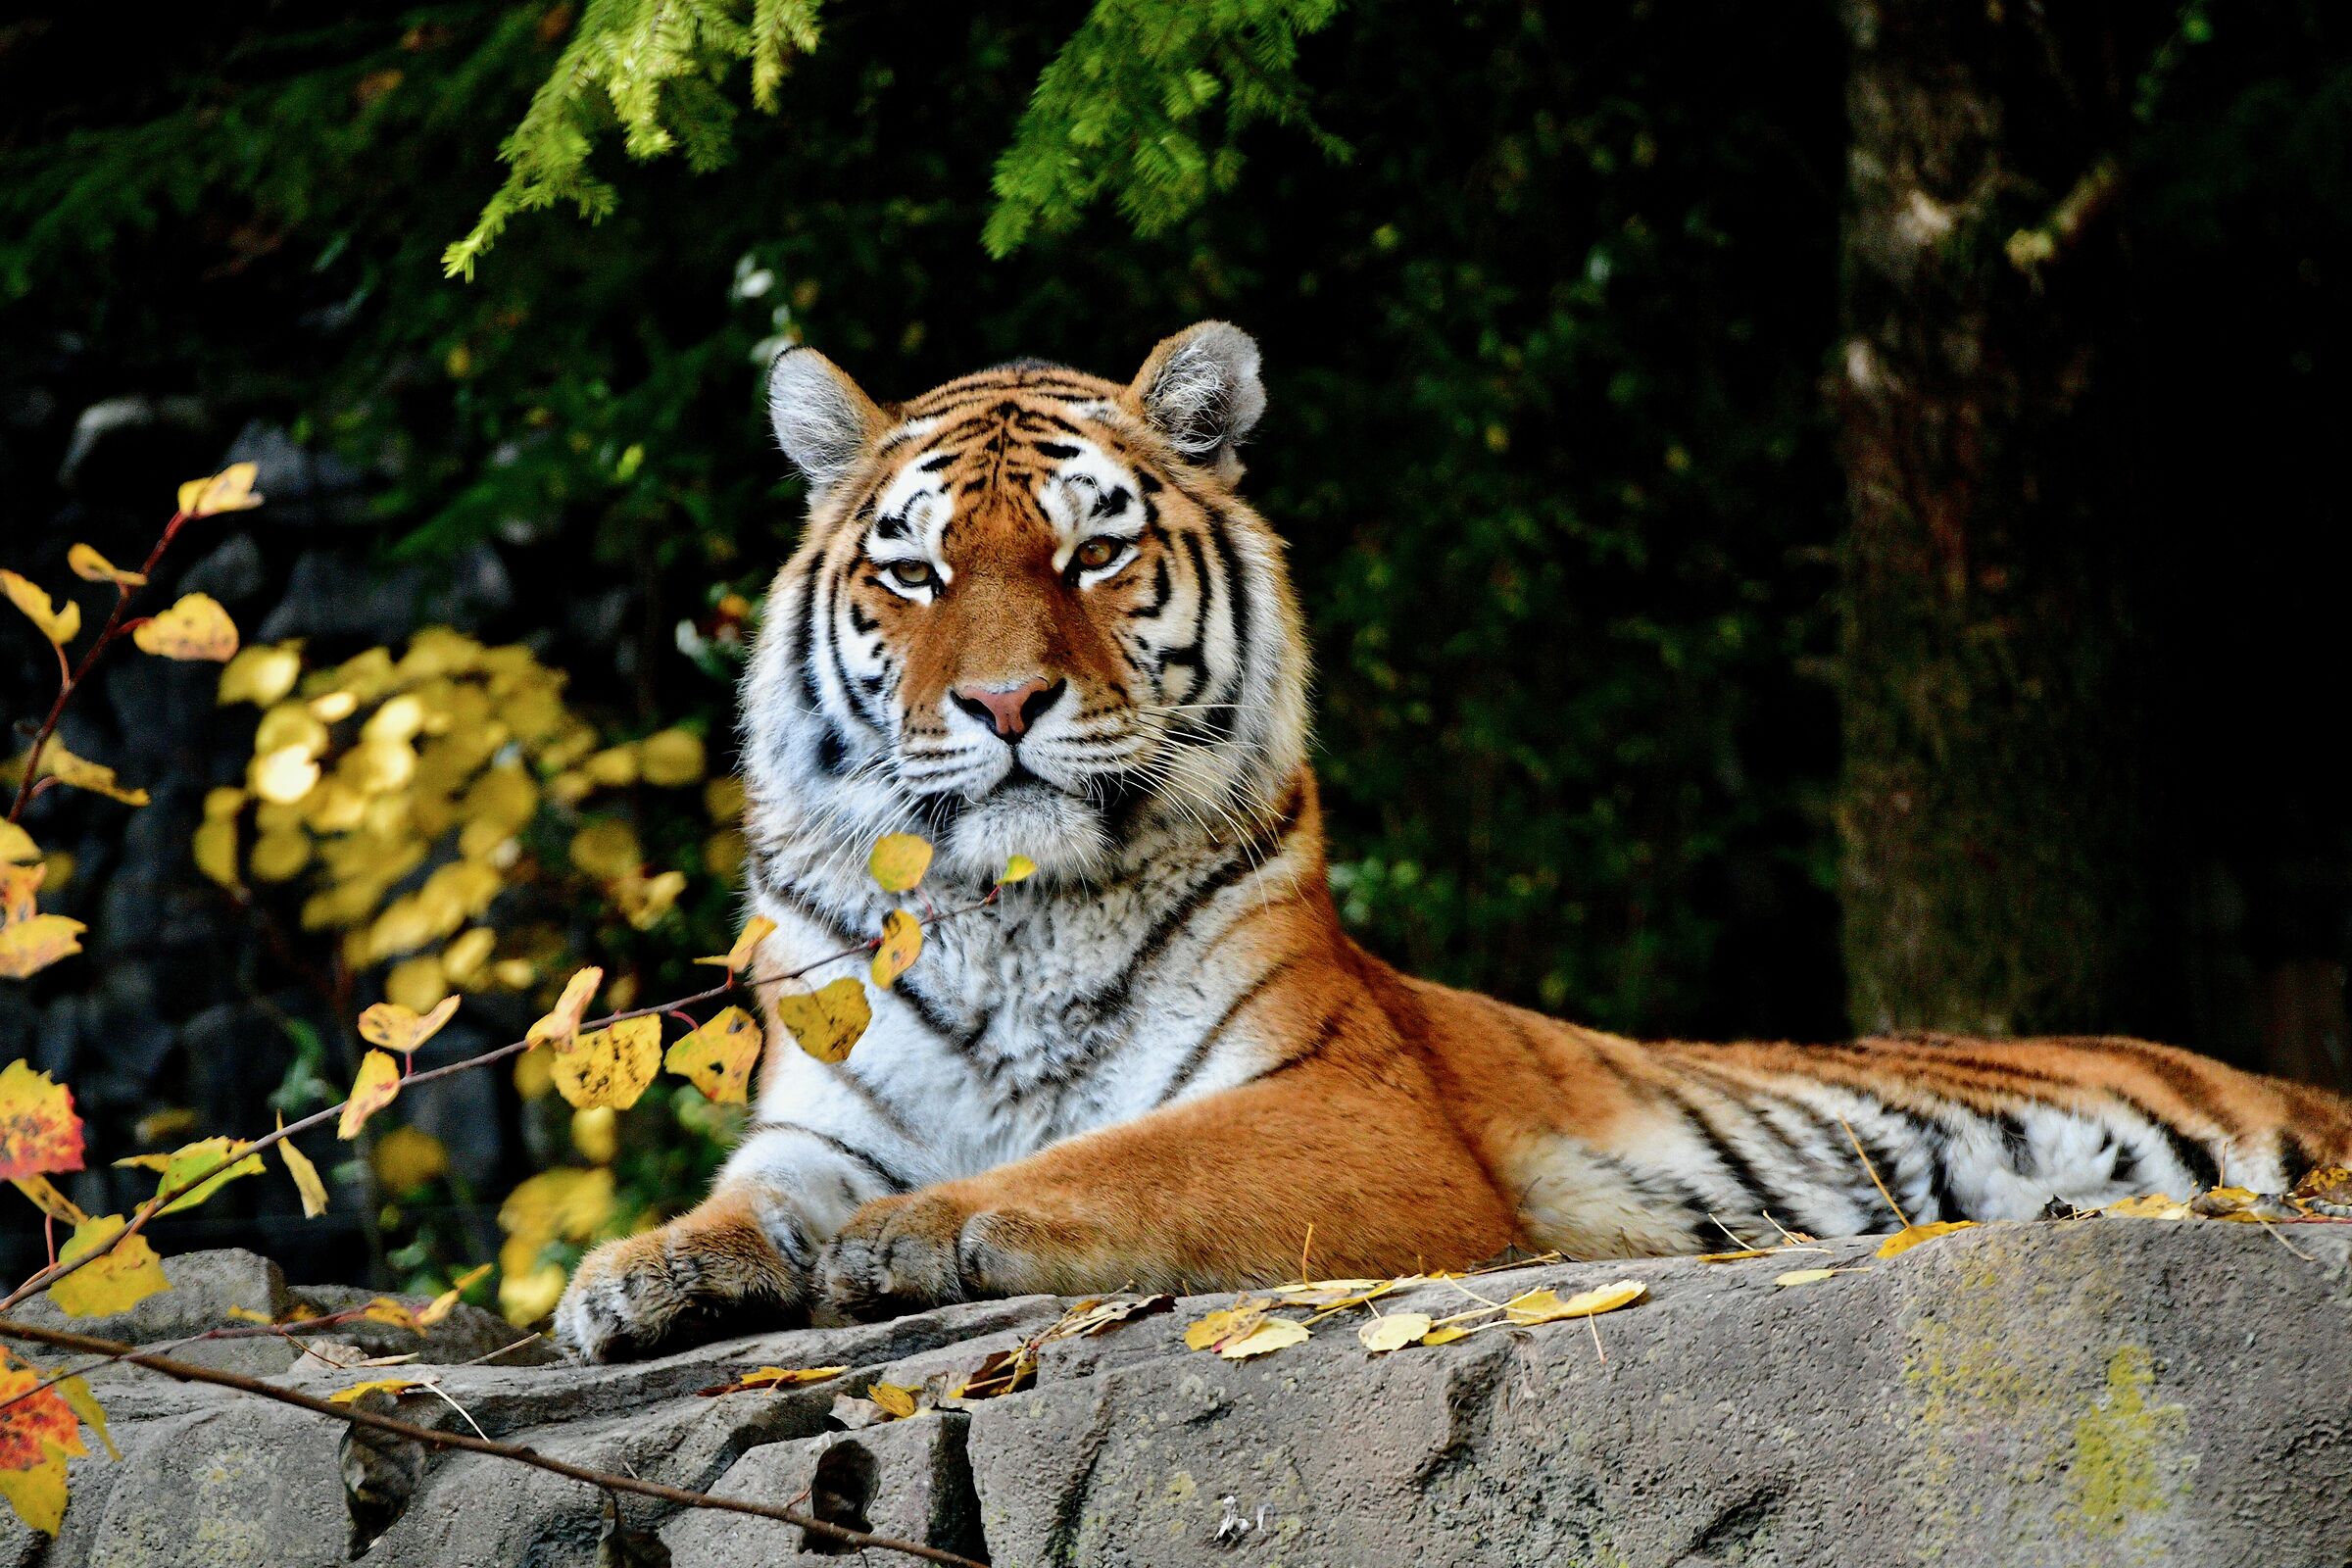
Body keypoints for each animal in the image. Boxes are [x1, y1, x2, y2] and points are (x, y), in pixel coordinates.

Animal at [553, 321, 2352, 1361]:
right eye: (916, 573)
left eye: (1094, 553)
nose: (1001, 702)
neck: (1018, 910)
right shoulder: (819, 1124)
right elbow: (738, 1208)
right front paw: (628, 1282)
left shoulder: (1342, 1111)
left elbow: (1112, 1160)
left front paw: (909, 1239)